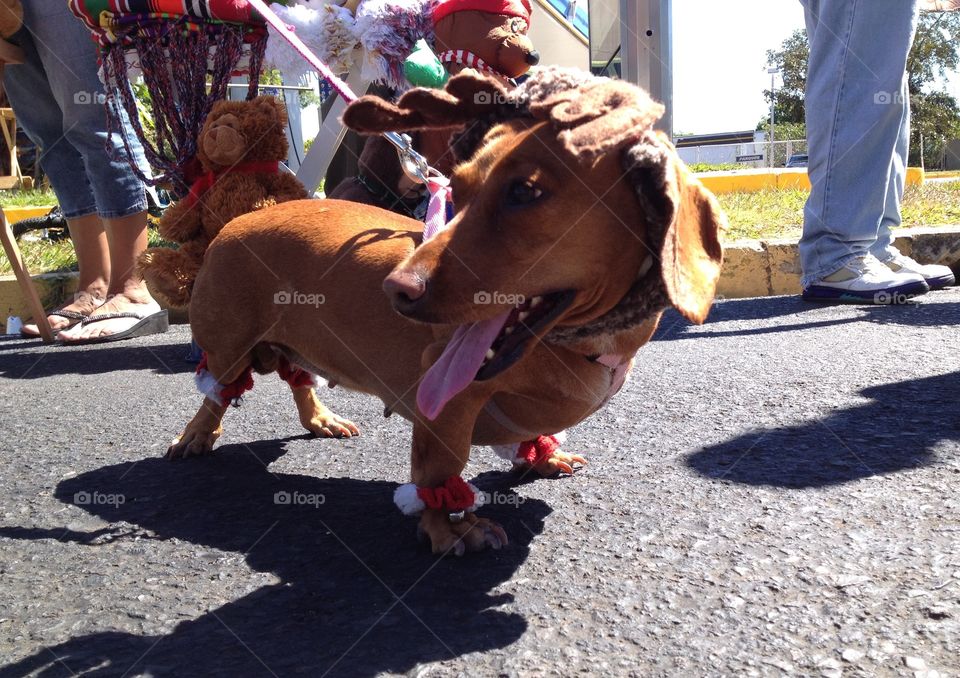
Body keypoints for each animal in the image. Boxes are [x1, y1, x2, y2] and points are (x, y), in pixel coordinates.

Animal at [169, 67, 724, 556]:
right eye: (458, 190)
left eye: (525, 191)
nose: (396, 290)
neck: (580, 343)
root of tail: (236, 221)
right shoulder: (448, 402)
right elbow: (438, 471)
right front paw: (450, 528)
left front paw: (542, 453)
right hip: (229, 343)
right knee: (218, 392)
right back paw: (195, 435)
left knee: (296, 376)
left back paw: (320, 418)